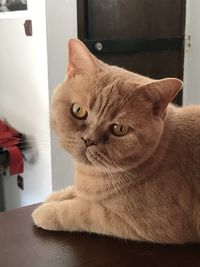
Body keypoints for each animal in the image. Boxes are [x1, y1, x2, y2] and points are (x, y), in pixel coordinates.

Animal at [31, 38, 200, 245]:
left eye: (119, 129)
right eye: (78, 110)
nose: (88, 140)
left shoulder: (136, 223)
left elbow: (79, 210)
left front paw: (47, 211)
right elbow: (74, 193)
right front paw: (57, 195)